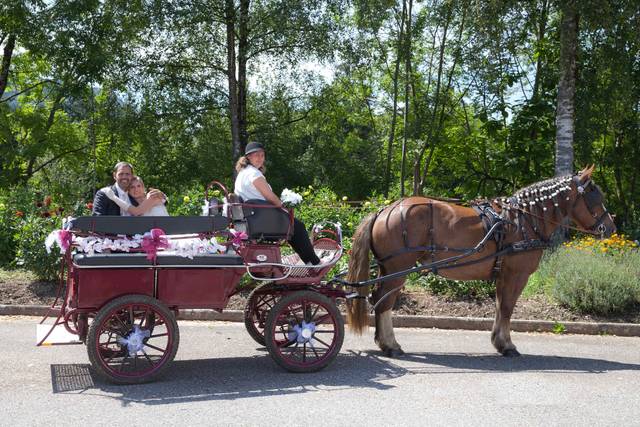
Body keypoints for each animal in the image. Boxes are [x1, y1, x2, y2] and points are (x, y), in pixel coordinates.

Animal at [348, 167, 616, 358]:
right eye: (594, 197)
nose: (611, 228)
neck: (522, 221)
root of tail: (384, 210)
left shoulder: (503, 274)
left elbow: (499, 307)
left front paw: (499, 342)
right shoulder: (516, 274)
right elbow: (507, 308)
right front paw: (507, 345)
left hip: (388, 267)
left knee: (379, 299)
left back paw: (385, 343)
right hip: (398, 268)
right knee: (384, 302)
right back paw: (391, 345)